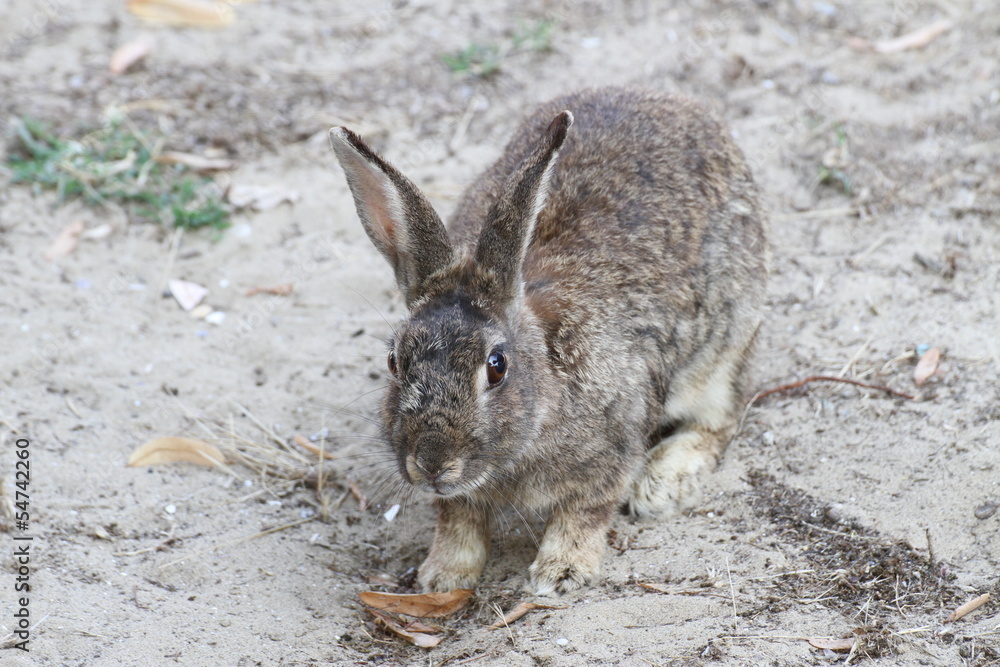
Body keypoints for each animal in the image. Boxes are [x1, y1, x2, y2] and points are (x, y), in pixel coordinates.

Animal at [328, 87, 768, 595]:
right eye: (394, 362)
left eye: (496, 365)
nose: (433, 462)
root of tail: (676, 101)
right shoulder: (461, 497)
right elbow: (458, 520)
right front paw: (444, 577)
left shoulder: (612, 452)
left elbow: (584, 512)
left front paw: (561, 572)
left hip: (725, 348)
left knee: (720, 421)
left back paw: (661, 484)